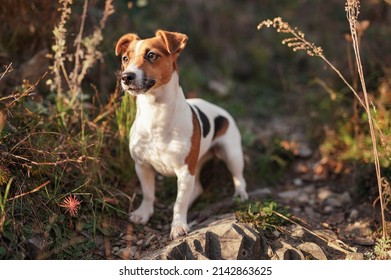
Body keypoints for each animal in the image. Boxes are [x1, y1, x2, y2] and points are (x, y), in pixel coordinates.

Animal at [115, 29, 248, 240]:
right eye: (125, 58)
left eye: (151, 55)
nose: (126, 77)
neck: (156, 113)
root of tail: (219, 109)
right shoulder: (142, 166)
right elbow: (148, 193)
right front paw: (144, 213)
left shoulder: (185, 171)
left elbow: (179, 204)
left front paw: (178, 226)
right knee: (197, 188)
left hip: (231, 153)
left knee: (238, 178)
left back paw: (241, 194)